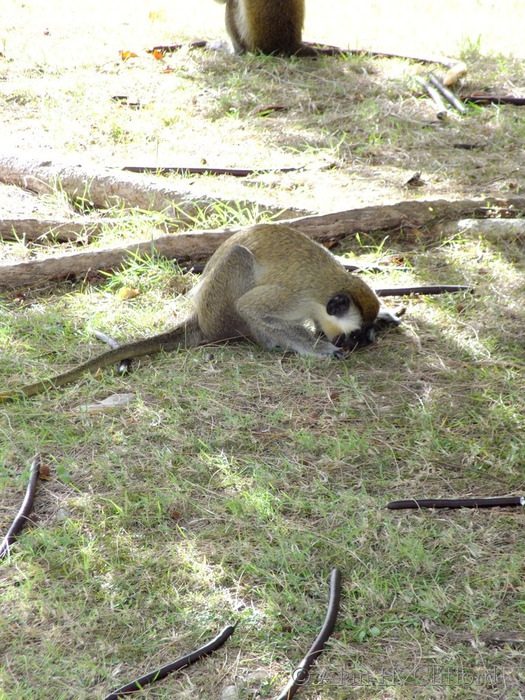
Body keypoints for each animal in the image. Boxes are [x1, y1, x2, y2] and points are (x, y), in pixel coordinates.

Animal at [0, 225, 401, 401]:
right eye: (352, 336)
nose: (355, 345)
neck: (329, 286)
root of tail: (200, 318)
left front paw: (384, 318)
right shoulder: (295, 296)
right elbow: (254, 308)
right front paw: (319, 349)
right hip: (223, 312)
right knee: (239, 261)